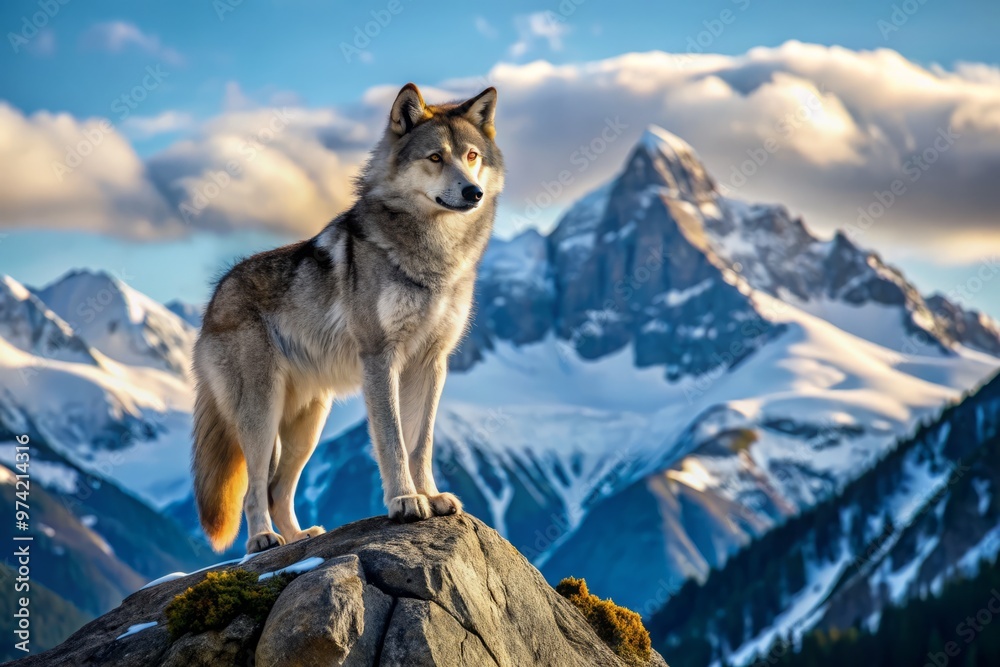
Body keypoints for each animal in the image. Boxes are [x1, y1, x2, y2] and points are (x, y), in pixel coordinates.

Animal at [191, 83, 503, 553]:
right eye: (435, 157)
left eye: (471, 156)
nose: (473, 193)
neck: (435, 257)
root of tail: (214, 297)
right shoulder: (380, 357)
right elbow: (393, 441)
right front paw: (405, 502)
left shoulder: (432, 362)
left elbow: (422, 443)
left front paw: (431, 496)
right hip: (262, 414)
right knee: (255, 487)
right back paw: (263, 539)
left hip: (309, 423)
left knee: (278, 488)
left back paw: (300, 536)